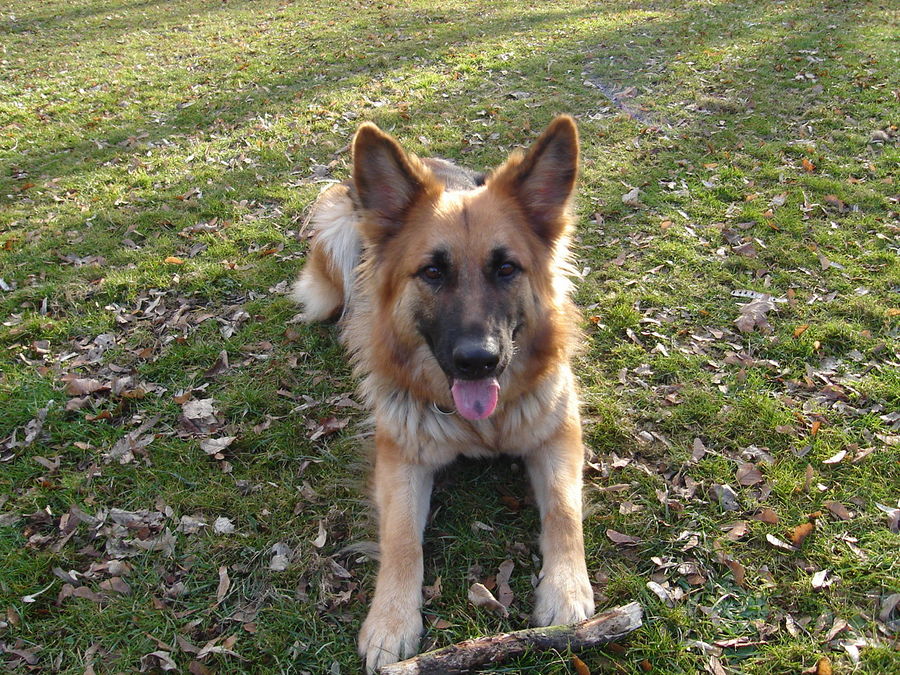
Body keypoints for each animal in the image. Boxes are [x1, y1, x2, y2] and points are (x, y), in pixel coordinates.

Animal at [292, 115, 596, 672]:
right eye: (433, 271)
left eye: (506, 268)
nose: (478, 360)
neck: (481, 427)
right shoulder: (400, 458)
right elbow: (401, 540)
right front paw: (391, 622)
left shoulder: (558, 434)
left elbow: (565, 512)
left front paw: (565, 592)